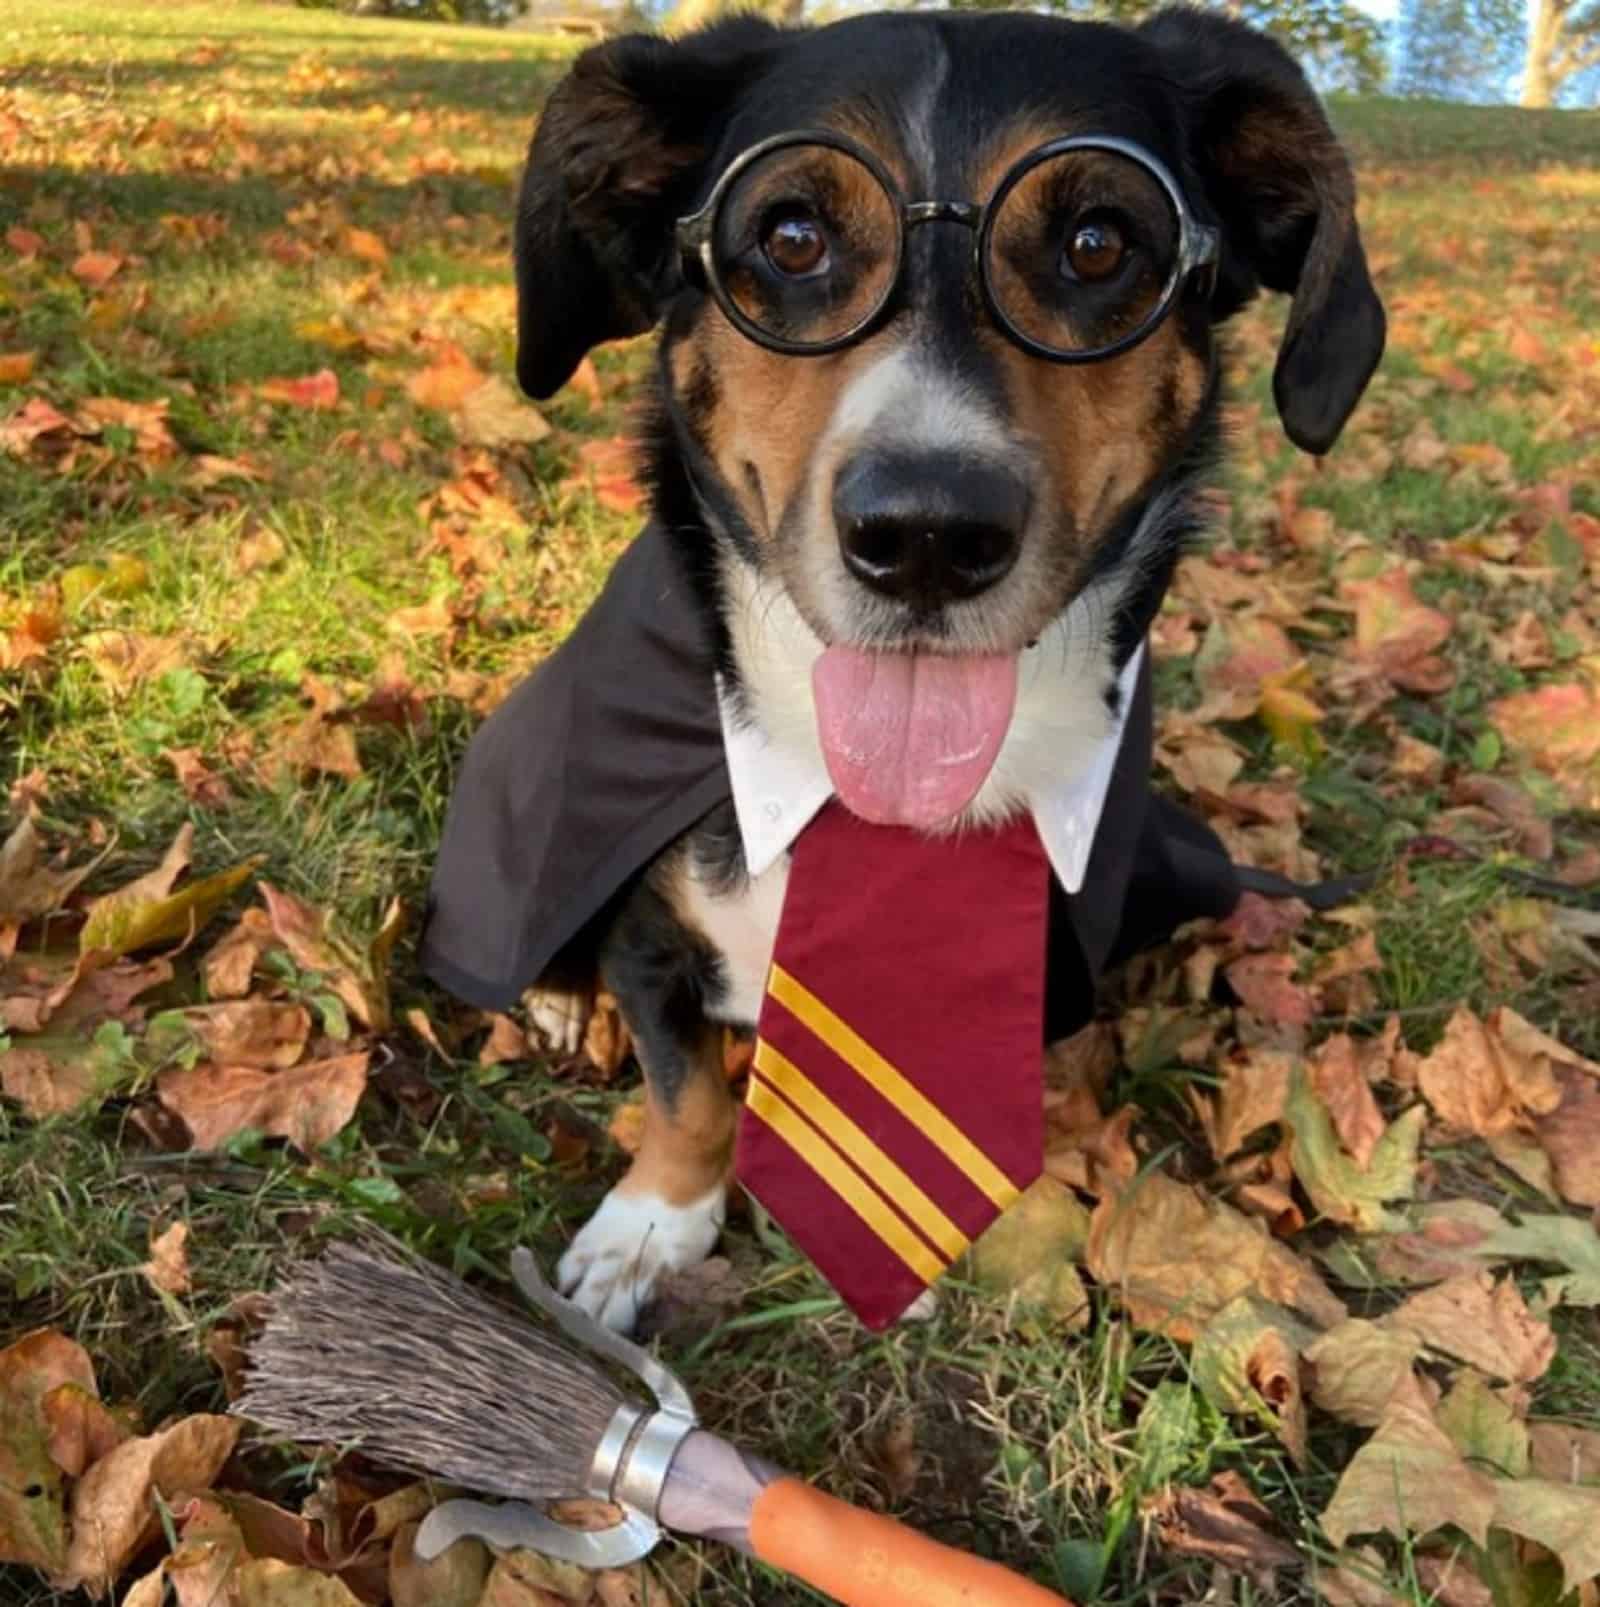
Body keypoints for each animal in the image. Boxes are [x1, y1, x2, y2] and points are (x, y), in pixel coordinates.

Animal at [417, 6, 1381, 1330]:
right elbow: (686, 1089)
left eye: (1098, 241)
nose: (928, 533)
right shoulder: (651, 934)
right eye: (791, 234)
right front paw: (651, 1226)